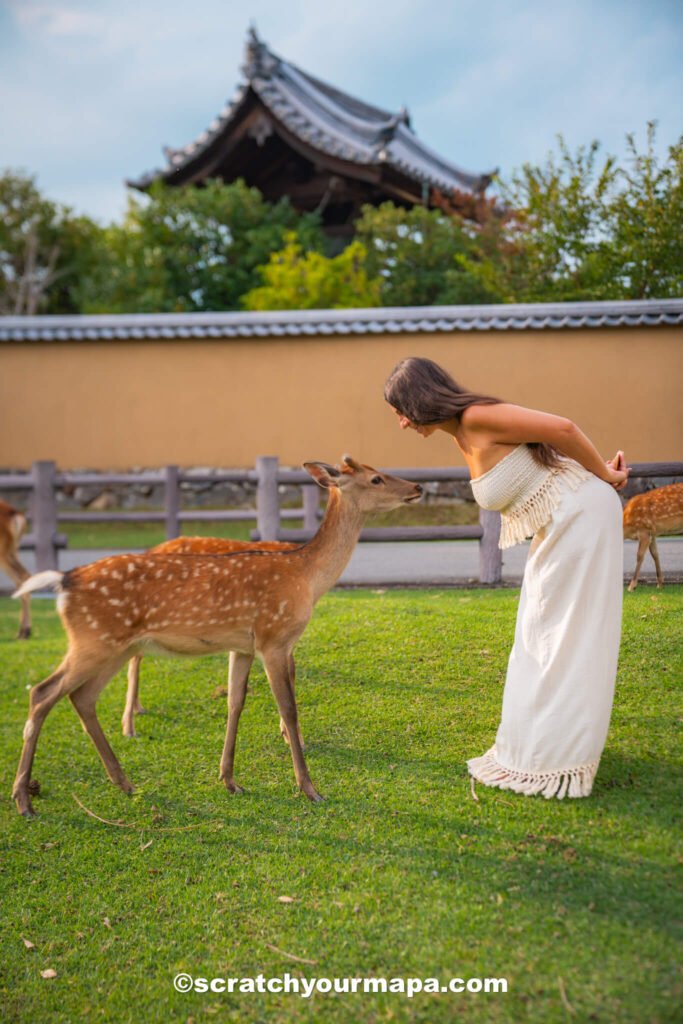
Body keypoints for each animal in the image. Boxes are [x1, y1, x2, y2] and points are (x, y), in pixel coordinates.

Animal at [121, 535, 300, 740]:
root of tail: (154, 550)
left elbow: (291, 672)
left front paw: (287, 733)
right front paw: (291, 735)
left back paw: (137, 709)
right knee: (134, 658)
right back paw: (128, 725)